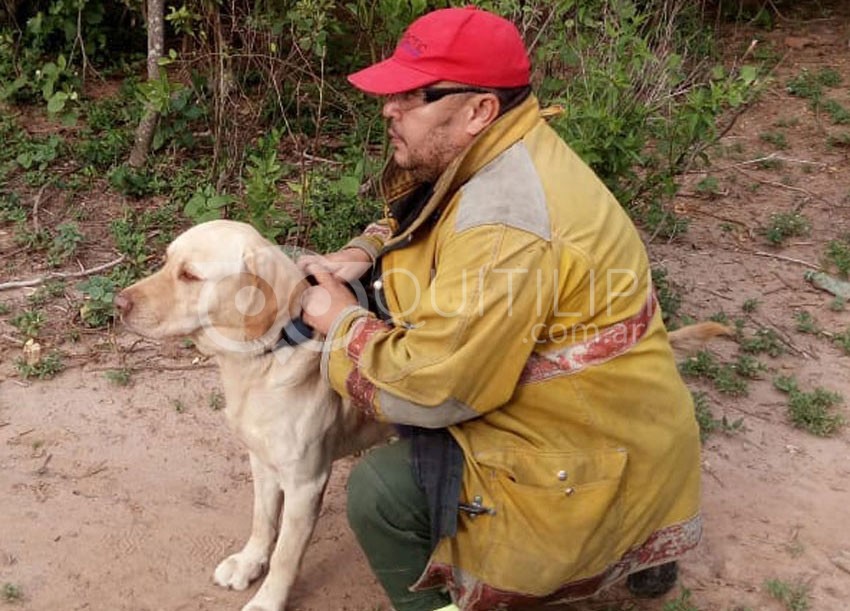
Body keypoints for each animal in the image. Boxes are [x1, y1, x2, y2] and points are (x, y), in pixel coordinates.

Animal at [116, 222, 388, 611]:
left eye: (189, 275)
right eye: (166, 261)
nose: (118, 303)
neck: (262, 363)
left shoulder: (306, 483)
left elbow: (286, 555)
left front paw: (267, 600)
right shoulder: (261, 460)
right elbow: (263, 521)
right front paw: (249, 563)